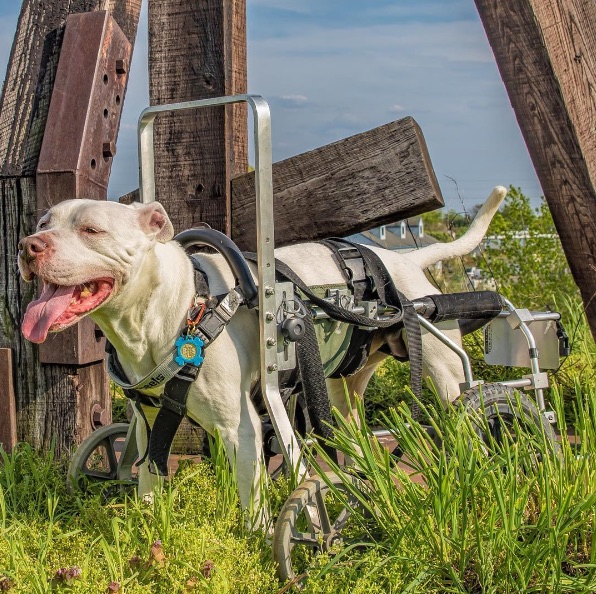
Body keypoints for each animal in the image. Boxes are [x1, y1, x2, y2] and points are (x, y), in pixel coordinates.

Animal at [18, 185, 506, 508]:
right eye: (43, 223)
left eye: (91, 229)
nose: (28, 245)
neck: (180, 308)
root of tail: (405, 258)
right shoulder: (154, 419)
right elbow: (149, 478)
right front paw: (148, 524)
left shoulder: (241, 430)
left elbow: (252, 508)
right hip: (342, 388)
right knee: (352, 429)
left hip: (444, 373)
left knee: (465, 418)